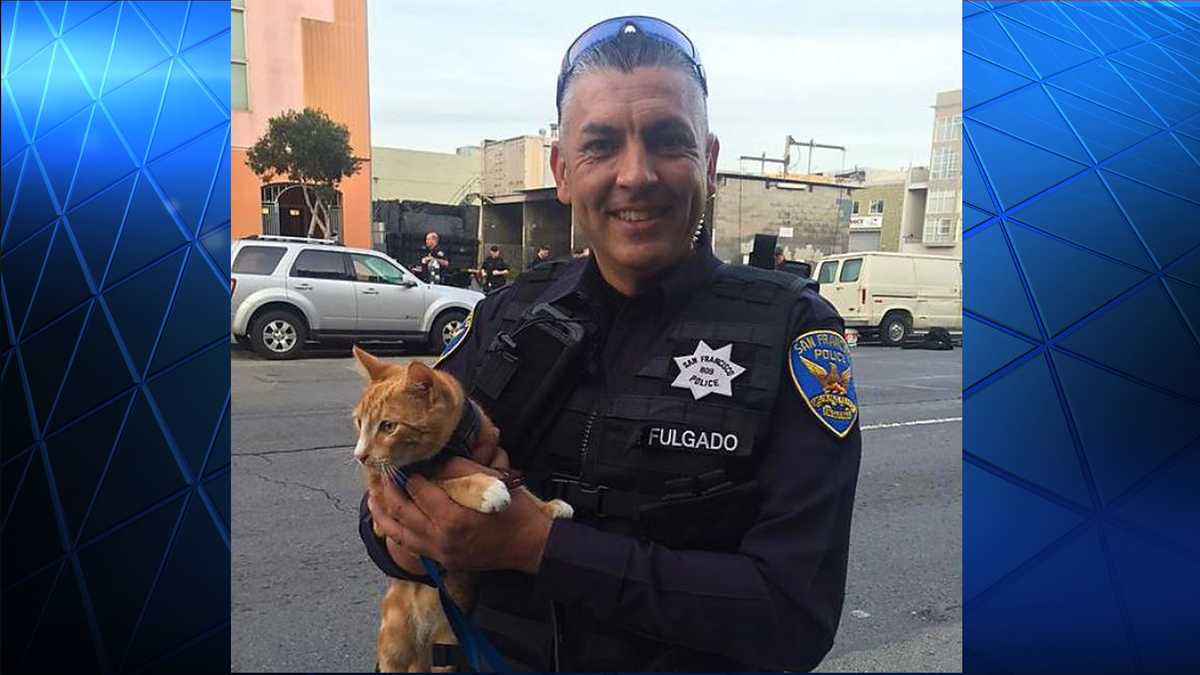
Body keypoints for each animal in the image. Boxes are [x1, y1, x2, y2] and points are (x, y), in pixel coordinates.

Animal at [350, 343, 571, 667]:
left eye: (388, 426)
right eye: (359, 422)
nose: (360, 456)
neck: (451, 446)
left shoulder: (495, 460)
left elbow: (517, 484)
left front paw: (549, 506)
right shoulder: (388, 500)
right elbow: (447, 484)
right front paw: (485, 489)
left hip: (449, 644)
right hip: (394, 646)